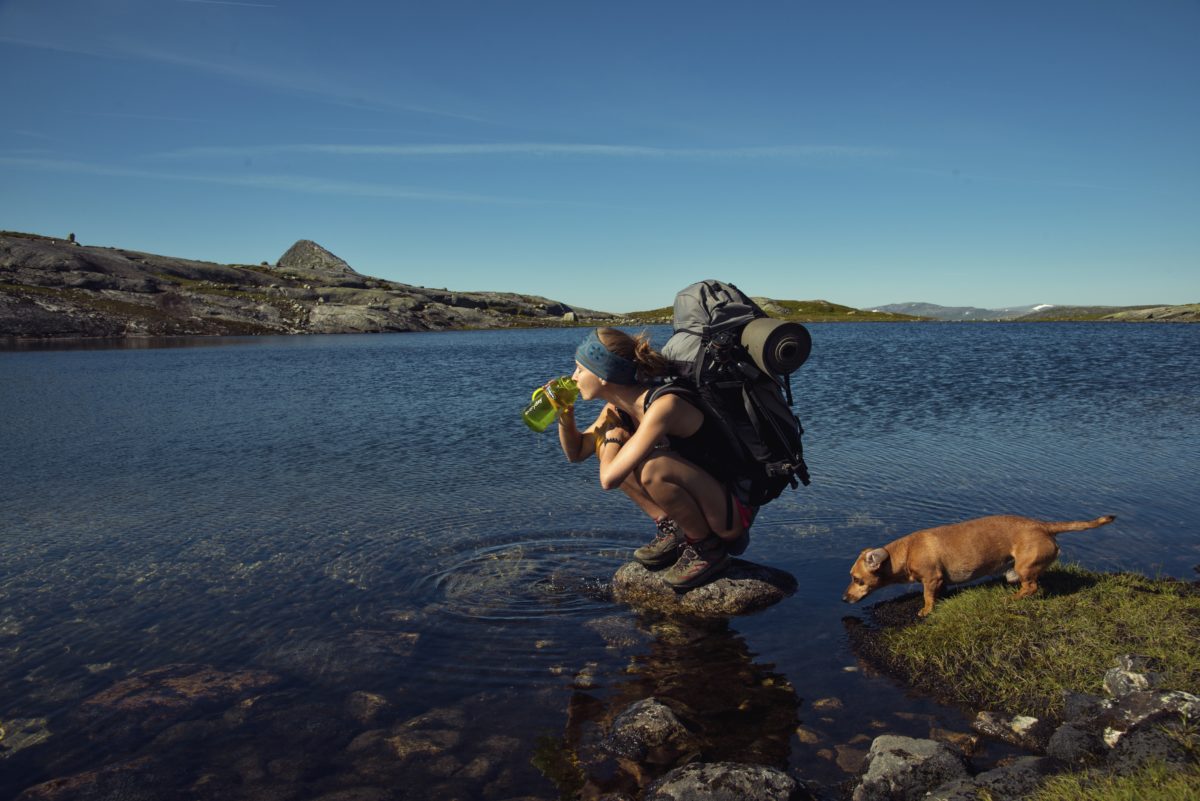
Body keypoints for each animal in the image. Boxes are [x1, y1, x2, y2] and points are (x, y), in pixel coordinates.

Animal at [844, 515, 1113, 618]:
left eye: (857, 579)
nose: (844, 599)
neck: (906, 551)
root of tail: (1043, 526)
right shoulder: (939, 580)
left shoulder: (931, 579)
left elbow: (928, 596)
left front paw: (926, 610)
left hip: (1024, 568)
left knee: (1032, 587)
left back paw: (1012, 599)